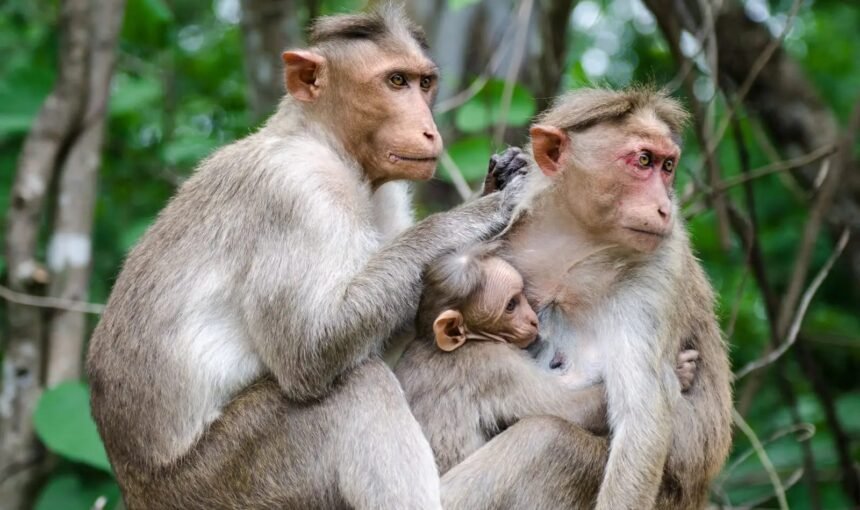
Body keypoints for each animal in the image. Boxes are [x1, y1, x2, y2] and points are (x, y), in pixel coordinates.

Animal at [86, 7, 528, 510]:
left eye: (424, 82)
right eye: (395, 81)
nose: (428, 128)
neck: (324, 143)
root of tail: (136, 490)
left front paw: (498, 179)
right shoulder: (298, 194)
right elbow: (308, 351)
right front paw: (478, 214)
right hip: (228, 482)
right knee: (356, 389)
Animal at [394, 243, 607, 474]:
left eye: (522, 296)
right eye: (511, 305)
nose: (533, 320)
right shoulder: (496, 365)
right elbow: (572, 408)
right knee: (551, 432)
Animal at [437, 87, 733, 510]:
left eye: (668, 165)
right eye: (644, 160)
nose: (663, 207)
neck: (573, 242)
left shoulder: (659, 267)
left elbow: (639, 423)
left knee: (546, 439)